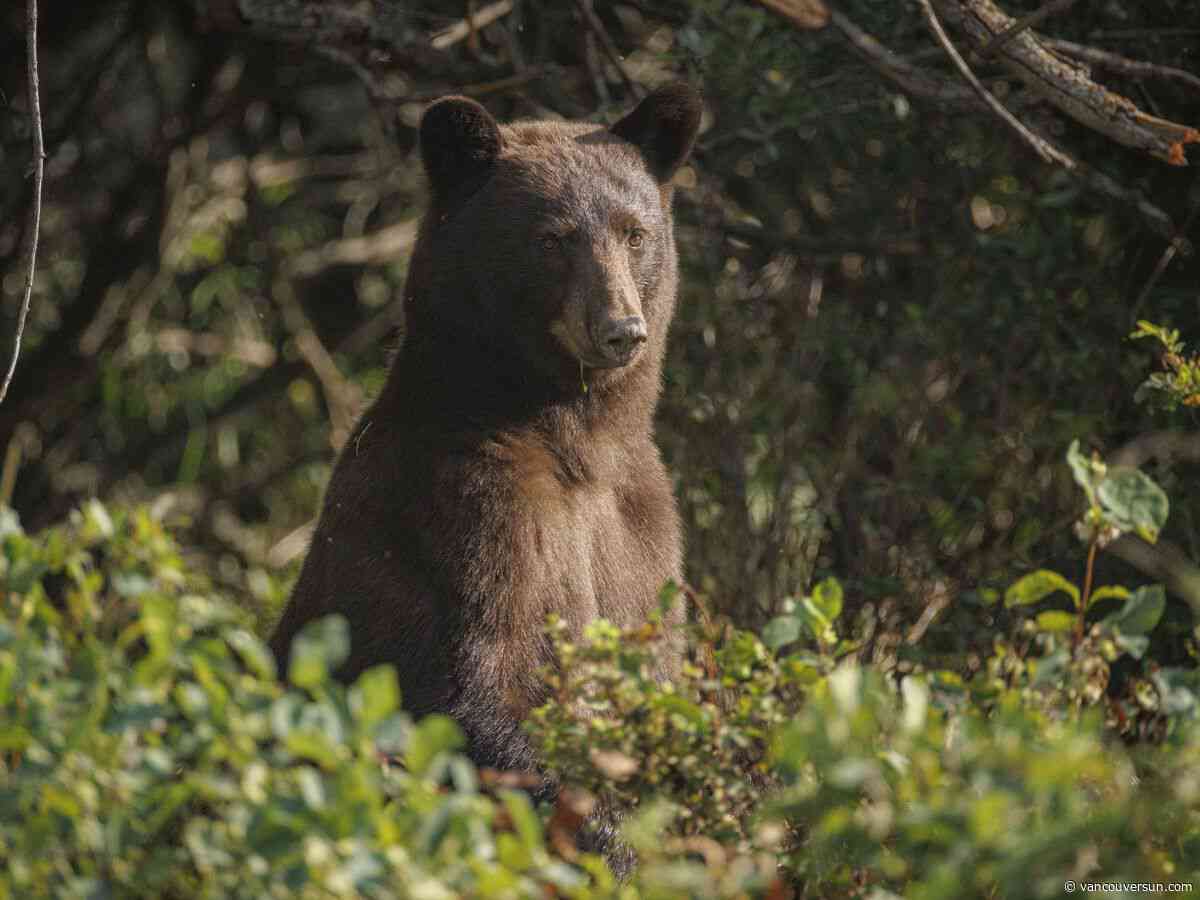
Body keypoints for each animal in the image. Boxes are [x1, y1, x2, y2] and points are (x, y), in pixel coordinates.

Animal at [268, 82, 702, 857]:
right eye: (553, 237)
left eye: (634, 232)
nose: (621, 330)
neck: (572, 437)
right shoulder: (464, 503)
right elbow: (471, 688)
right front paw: (616, 844)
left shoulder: (642, 524)